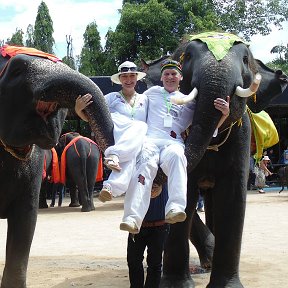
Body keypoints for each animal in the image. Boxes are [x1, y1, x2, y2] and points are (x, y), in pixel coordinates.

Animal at [143, 32, 286, 286]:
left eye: (246, 60)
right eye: (188, 56)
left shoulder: (241, 136)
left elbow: (232, 197)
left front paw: (227, 286)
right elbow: (184, 194)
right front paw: (176, 285)